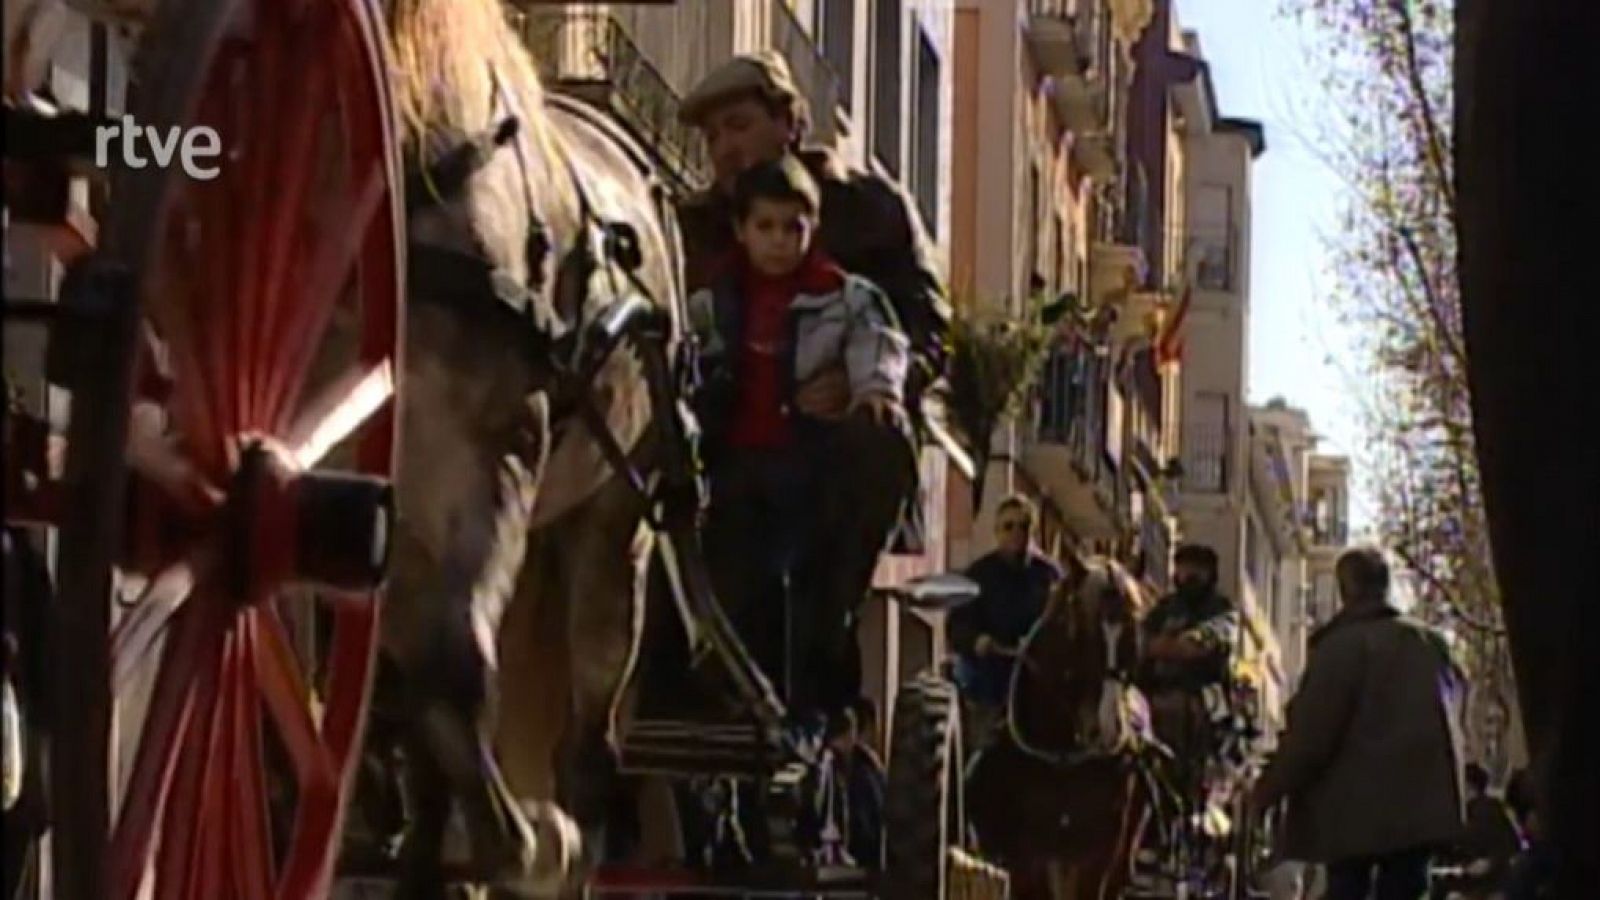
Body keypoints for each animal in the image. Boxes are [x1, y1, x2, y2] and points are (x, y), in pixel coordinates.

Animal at [960, 554, 1152, 896]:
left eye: (1135, 626)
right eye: (1083, 631)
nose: (1108, 729)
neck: (1062, 754)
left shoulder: (1097, 857)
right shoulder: (1027, 859)